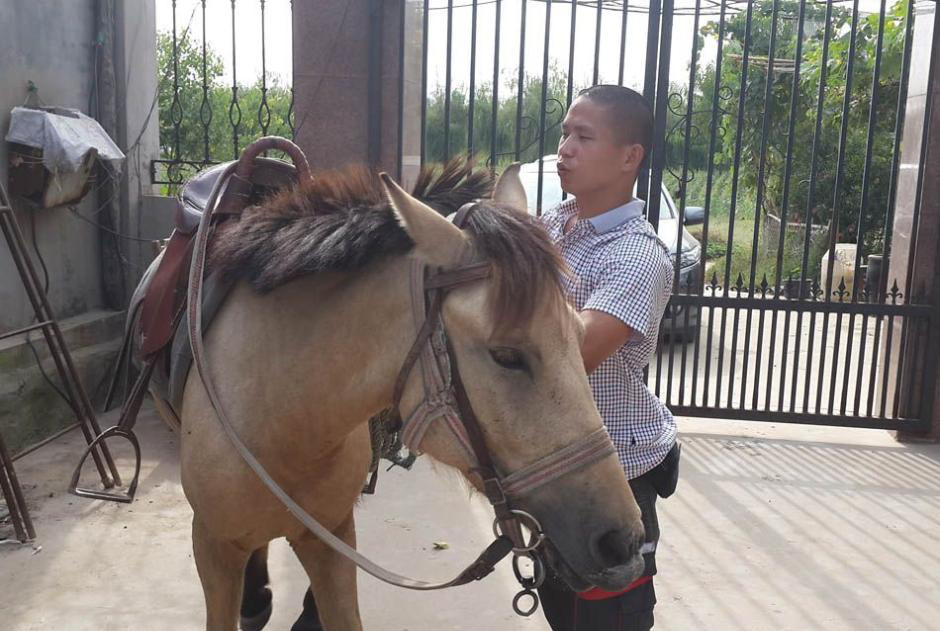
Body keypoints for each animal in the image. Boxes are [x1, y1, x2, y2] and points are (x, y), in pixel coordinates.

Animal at [149, 158, 645, 630]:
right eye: (506, 354)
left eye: (581, 336)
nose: (622, 543)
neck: (279, 415)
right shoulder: (212, 546)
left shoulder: (331, 535)